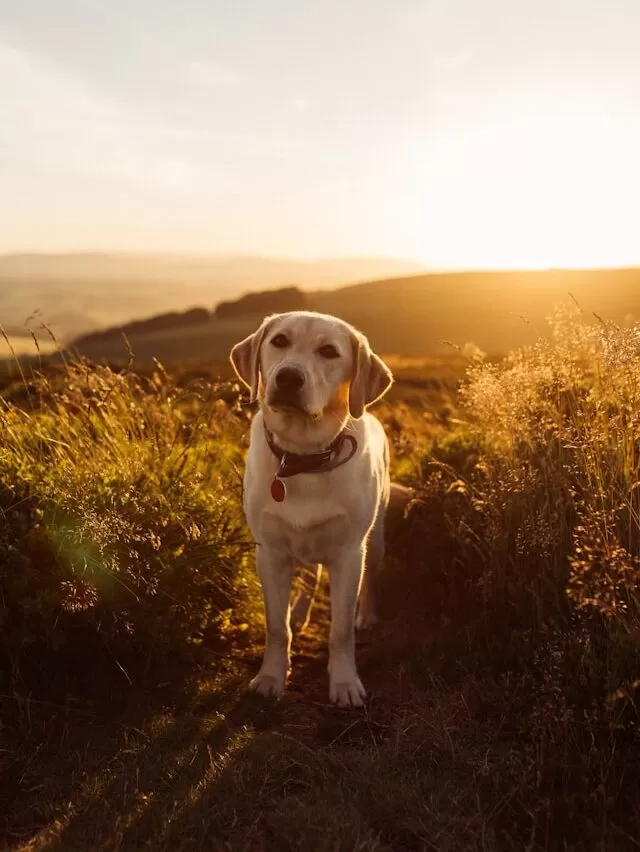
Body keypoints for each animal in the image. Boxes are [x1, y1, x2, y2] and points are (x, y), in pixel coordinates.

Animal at [232, 312, 408, 704]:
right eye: (279, 341)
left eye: (329, 351)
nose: (288, 377)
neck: (302, 458)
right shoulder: (270, 552)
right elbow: (276, 627)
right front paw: (271, 677)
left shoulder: (348, 554)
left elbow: (340, 631)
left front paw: (344, 683)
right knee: (310, 577)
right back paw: (299, 612)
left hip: (375, 539)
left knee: (371, 578)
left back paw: (367, 615)